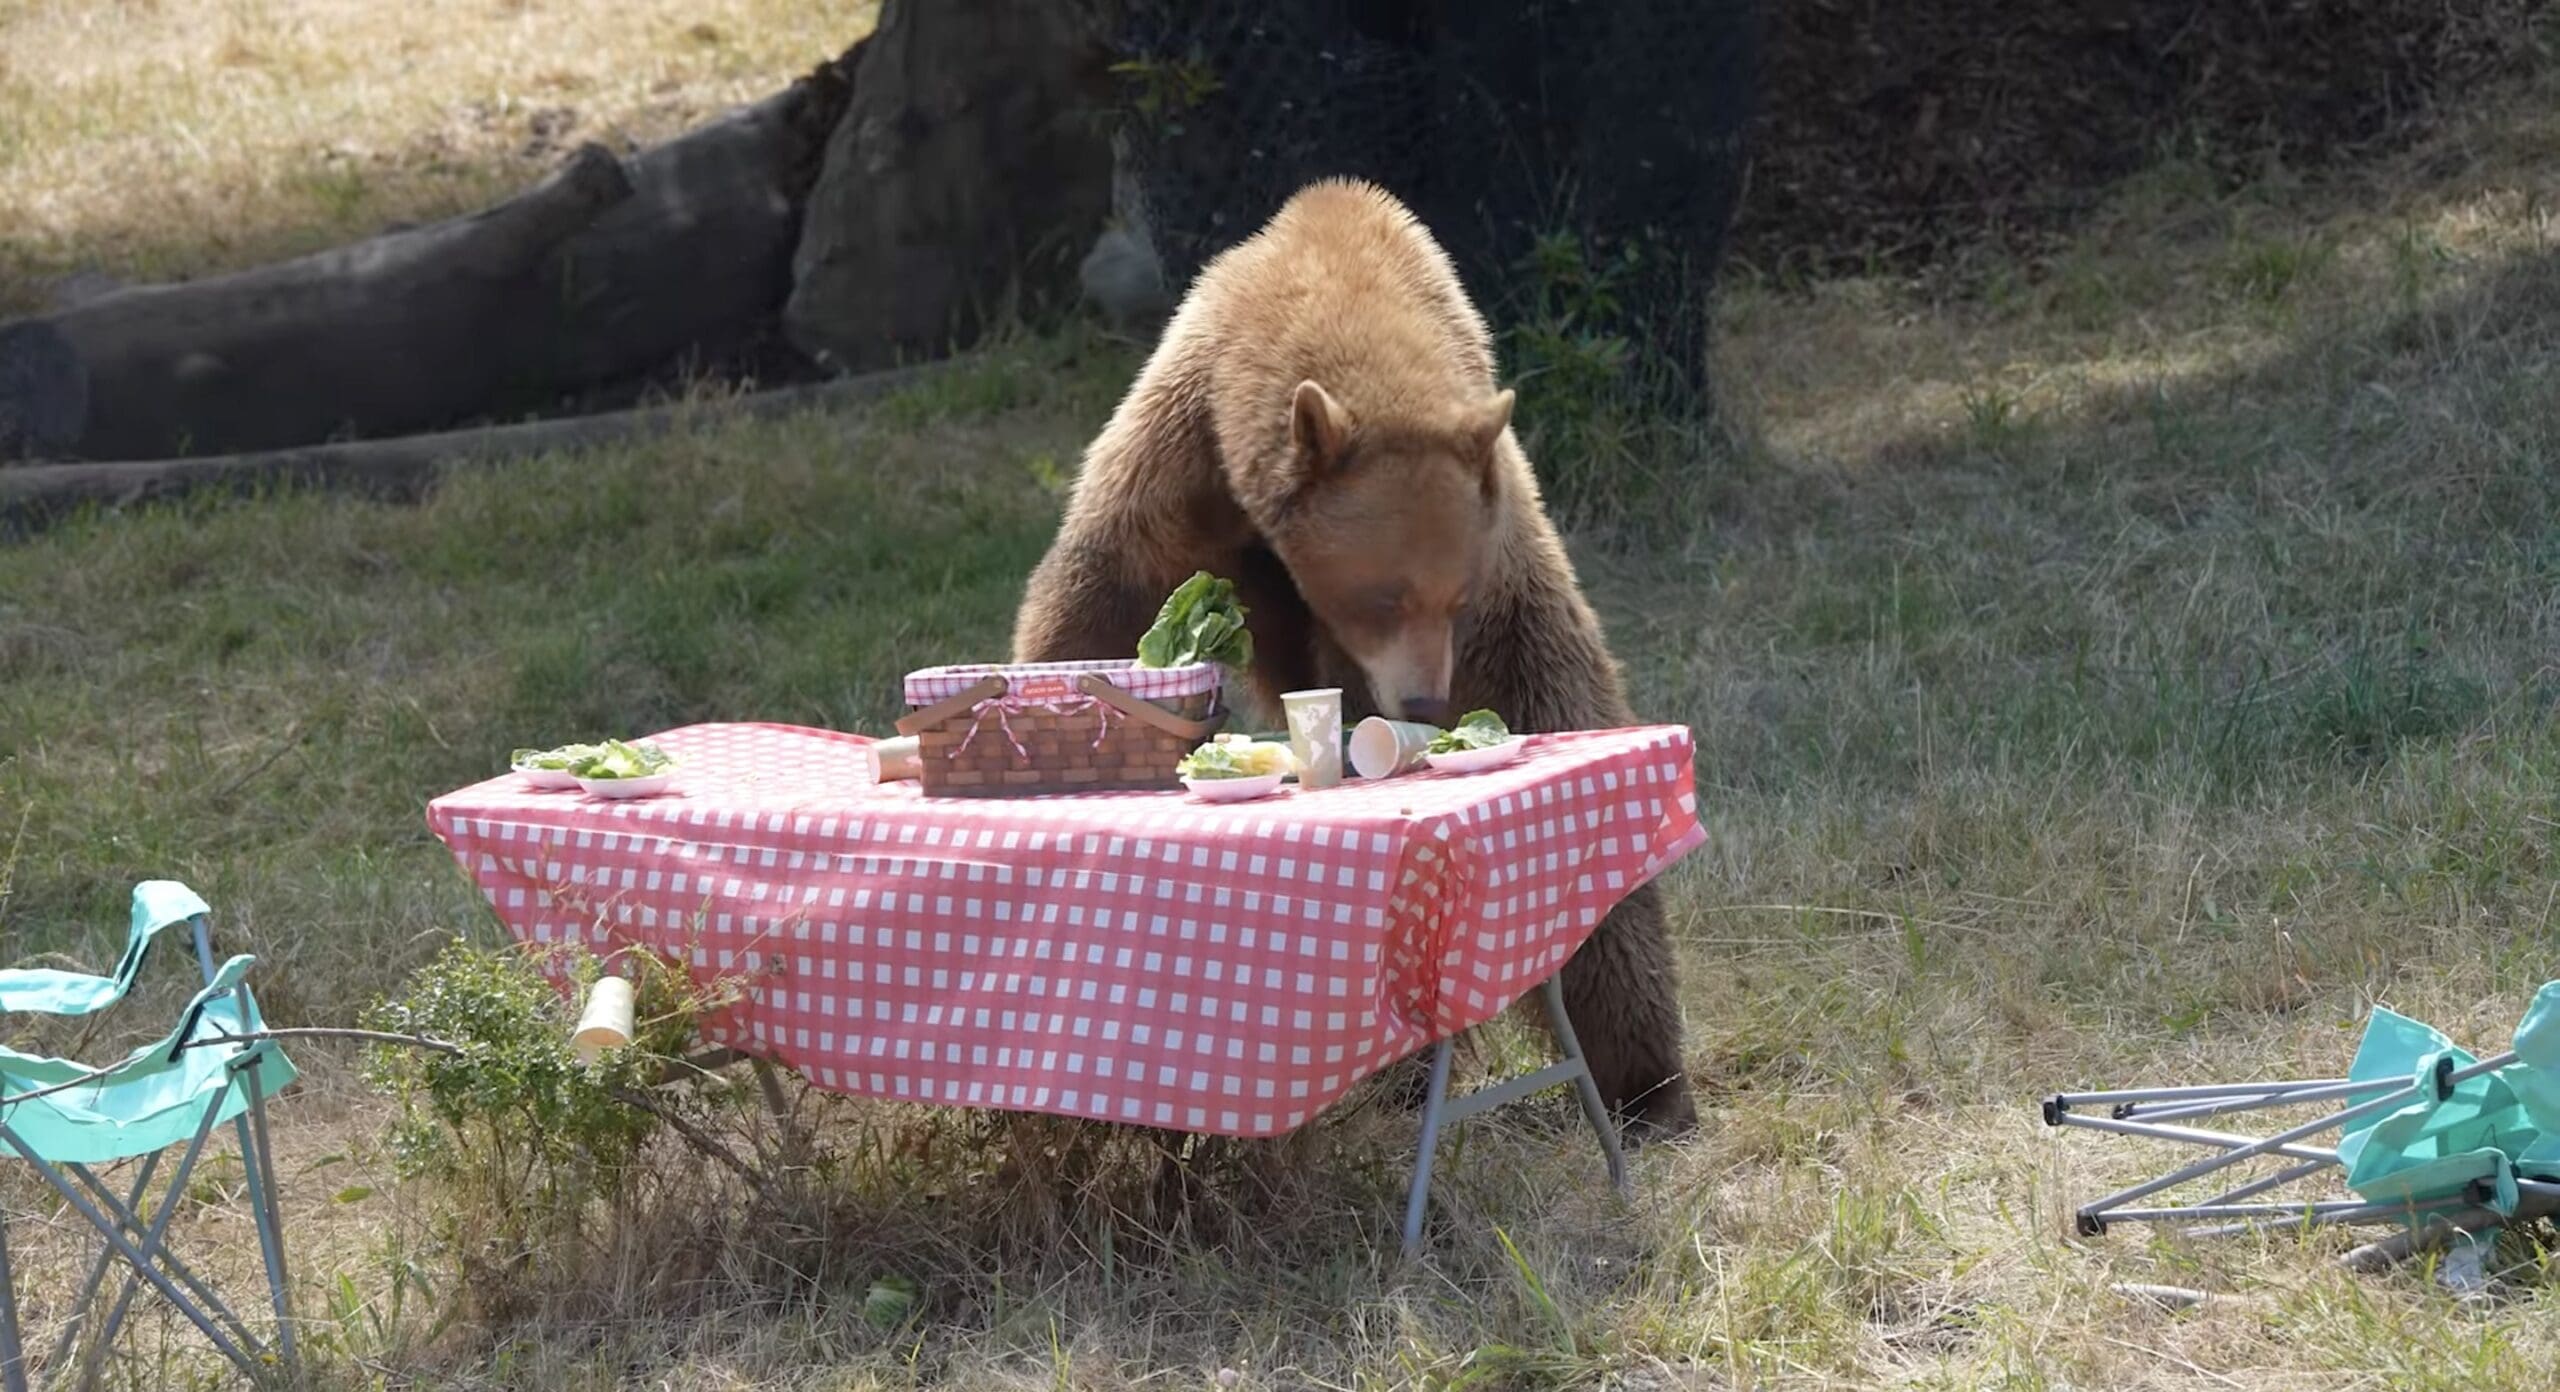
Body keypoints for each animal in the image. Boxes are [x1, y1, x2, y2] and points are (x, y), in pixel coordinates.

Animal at [1010, 177, 1695, 1138]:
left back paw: (1642, 1084)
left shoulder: (1499, 569)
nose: (1425, 703)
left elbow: (1549, 686)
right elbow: (1096, 607)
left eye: (1455, 596)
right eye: (1384, 594)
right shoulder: (1179, 471)